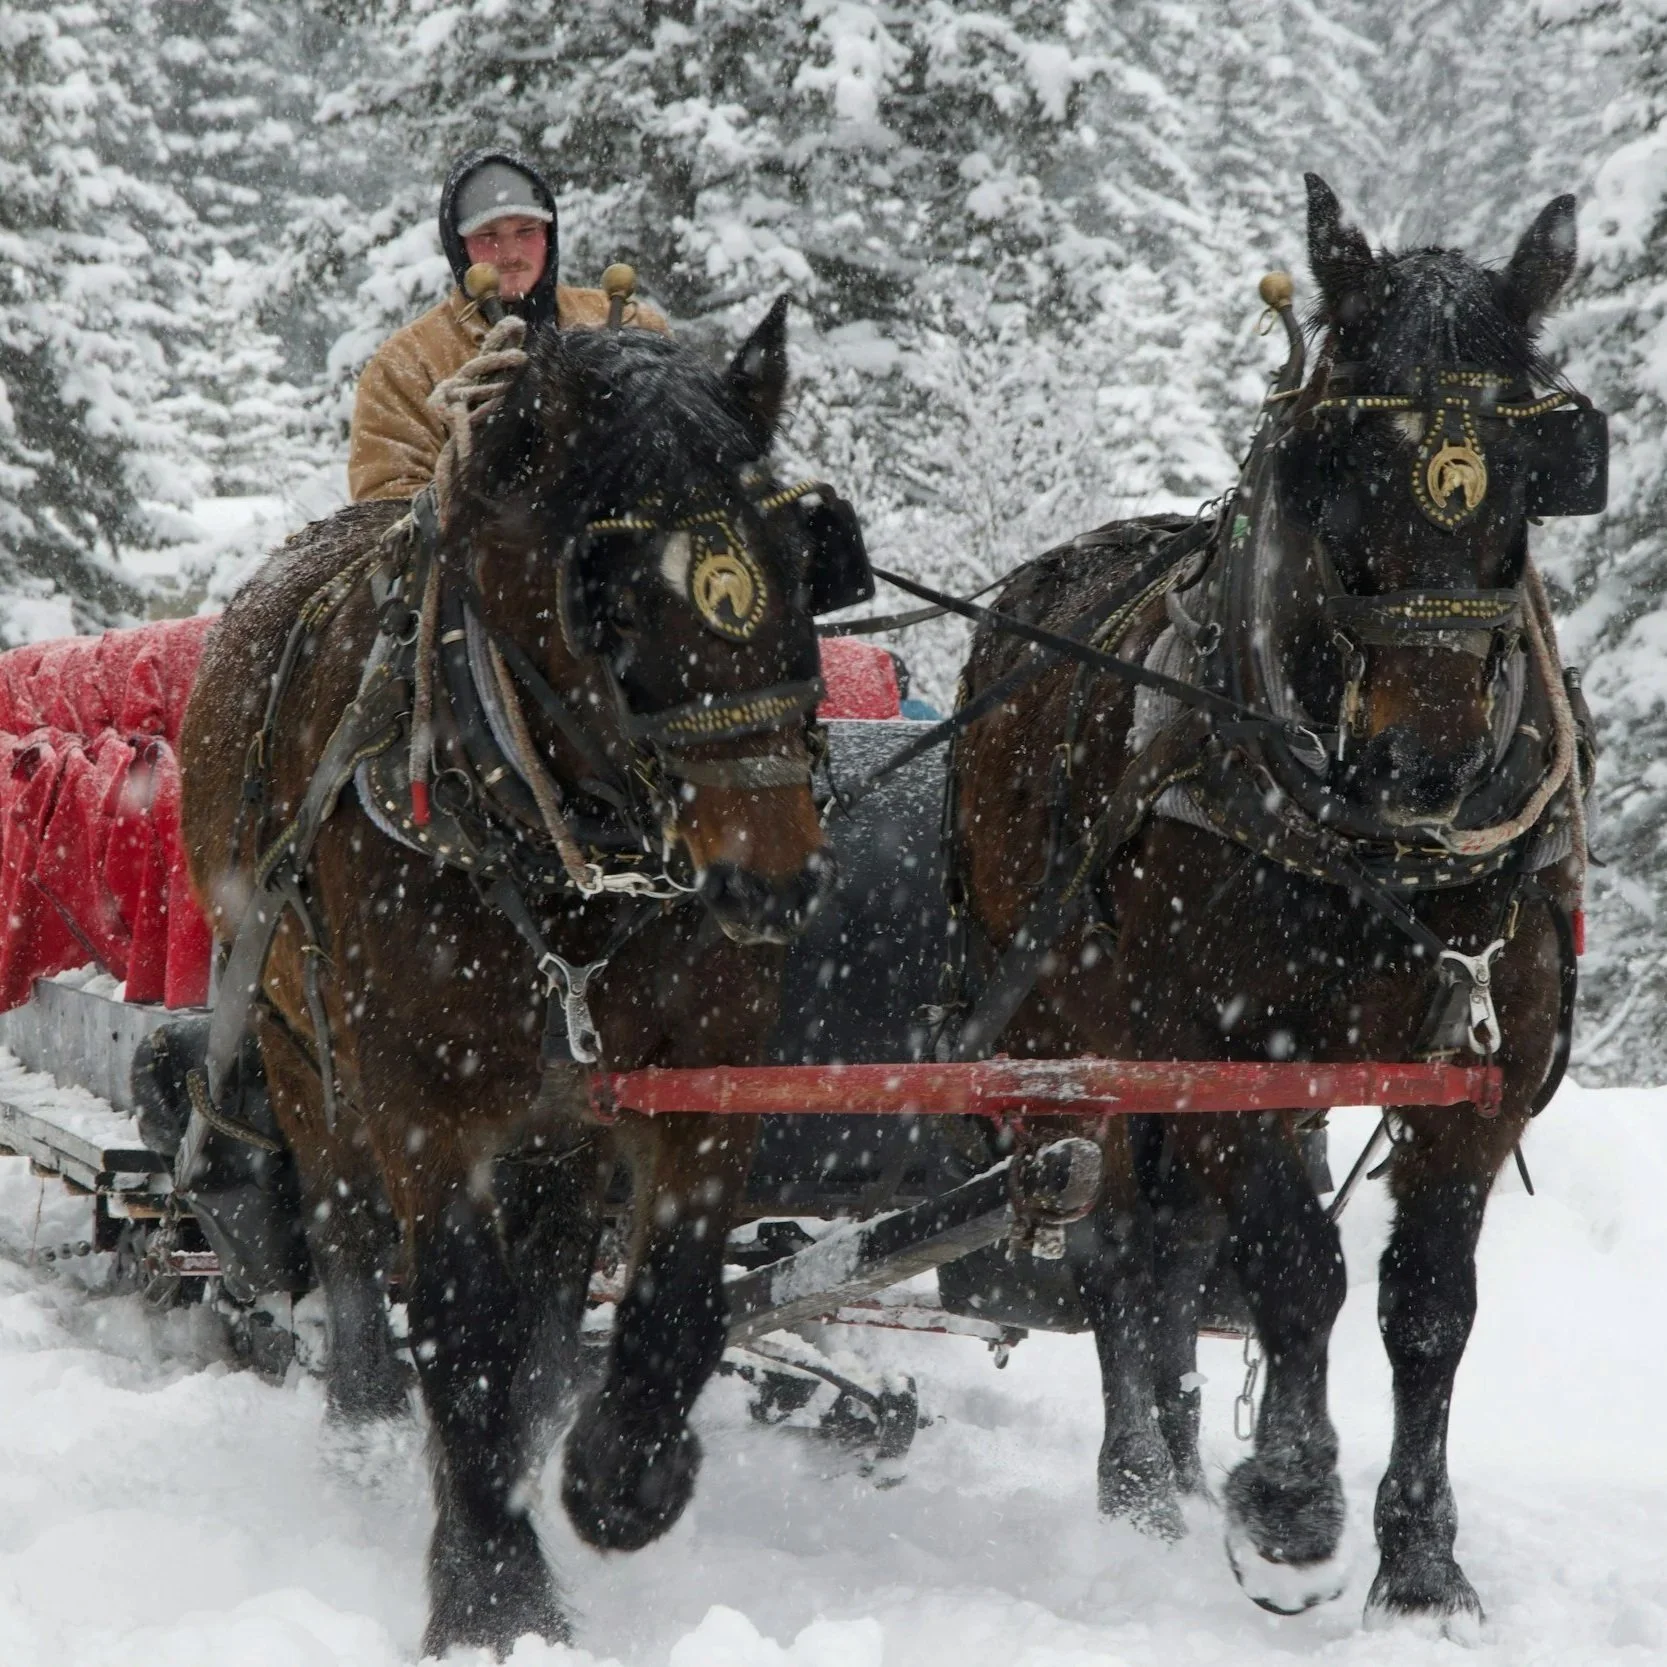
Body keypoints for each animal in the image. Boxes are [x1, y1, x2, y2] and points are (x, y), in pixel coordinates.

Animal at [179, 300, 850, 1657]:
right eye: (610, 605)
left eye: (801, 564)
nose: (772, 882)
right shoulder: (419, 1091)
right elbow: (457, 1306)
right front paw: (492, 1586)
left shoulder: (699, 1065)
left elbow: (673, 1287)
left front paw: (621, 1472)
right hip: (292, 1036)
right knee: (344, 1226)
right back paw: (370, 1427)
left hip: (558, 1114)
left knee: (549, 1271)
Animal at [949, 174, 1592, 1637]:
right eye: (1337, 465)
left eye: (1532, 476)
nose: (1422, 758)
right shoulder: (1240, 1044)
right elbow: (1296, 1265)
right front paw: (1294, 1506)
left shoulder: (1482, 1062)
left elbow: (1426, 1302)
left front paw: (1419, 1564)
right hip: (1089, 1030)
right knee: (1115, 1237)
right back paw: (1139, 1479)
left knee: (1173, 1245)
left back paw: (1187, 1462)